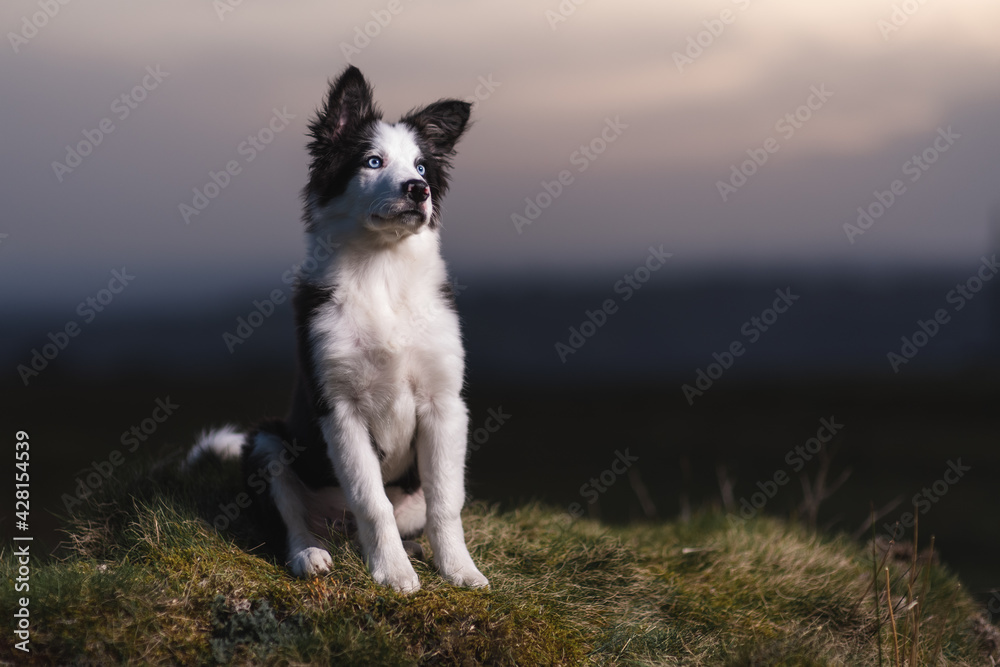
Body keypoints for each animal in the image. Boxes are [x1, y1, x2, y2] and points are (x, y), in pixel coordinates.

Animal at [191, 65, 488, 592]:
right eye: (372, 161)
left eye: (423, 168)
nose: (418, 191)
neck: (382, 271)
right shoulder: (339, 407)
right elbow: (371, 500)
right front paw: (393, 574)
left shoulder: (444, 403)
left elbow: (446, 503)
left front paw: (460, 570)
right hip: (267, 444)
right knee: (291, 521)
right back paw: (311, 554)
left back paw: (414, 550)